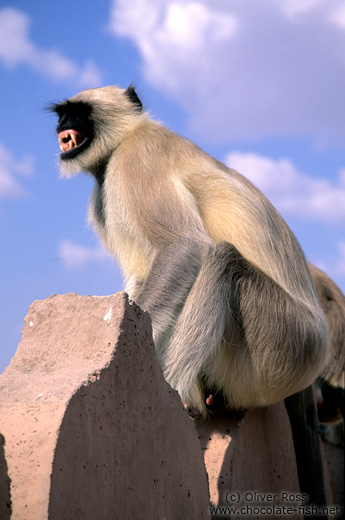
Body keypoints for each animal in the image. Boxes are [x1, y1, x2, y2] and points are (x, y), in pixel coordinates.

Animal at [51, 85, 328, 512]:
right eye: (62, 115)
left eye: (78, 113)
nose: (63, 127)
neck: (126, 138)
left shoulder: (136, 161)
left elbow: (184, 249)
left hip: (286, 345)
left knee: (221, 261)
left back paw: (176, 394)